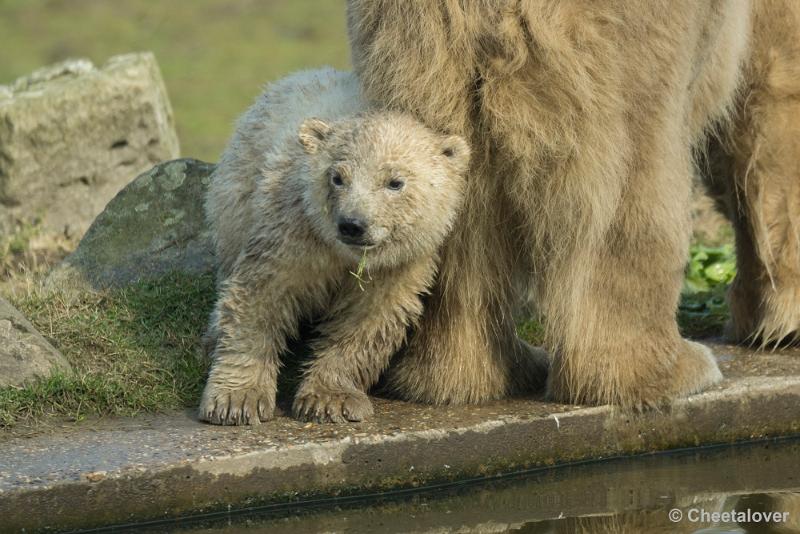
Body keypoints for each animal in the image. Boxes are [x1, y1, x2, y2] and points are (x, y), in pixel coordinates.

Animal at [348, 1, 800, 410]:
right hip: (624, 41)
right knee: (635, 173)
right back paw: (667, 370)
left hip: (422, 50)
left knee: (452, 193)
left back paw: (467, 374)